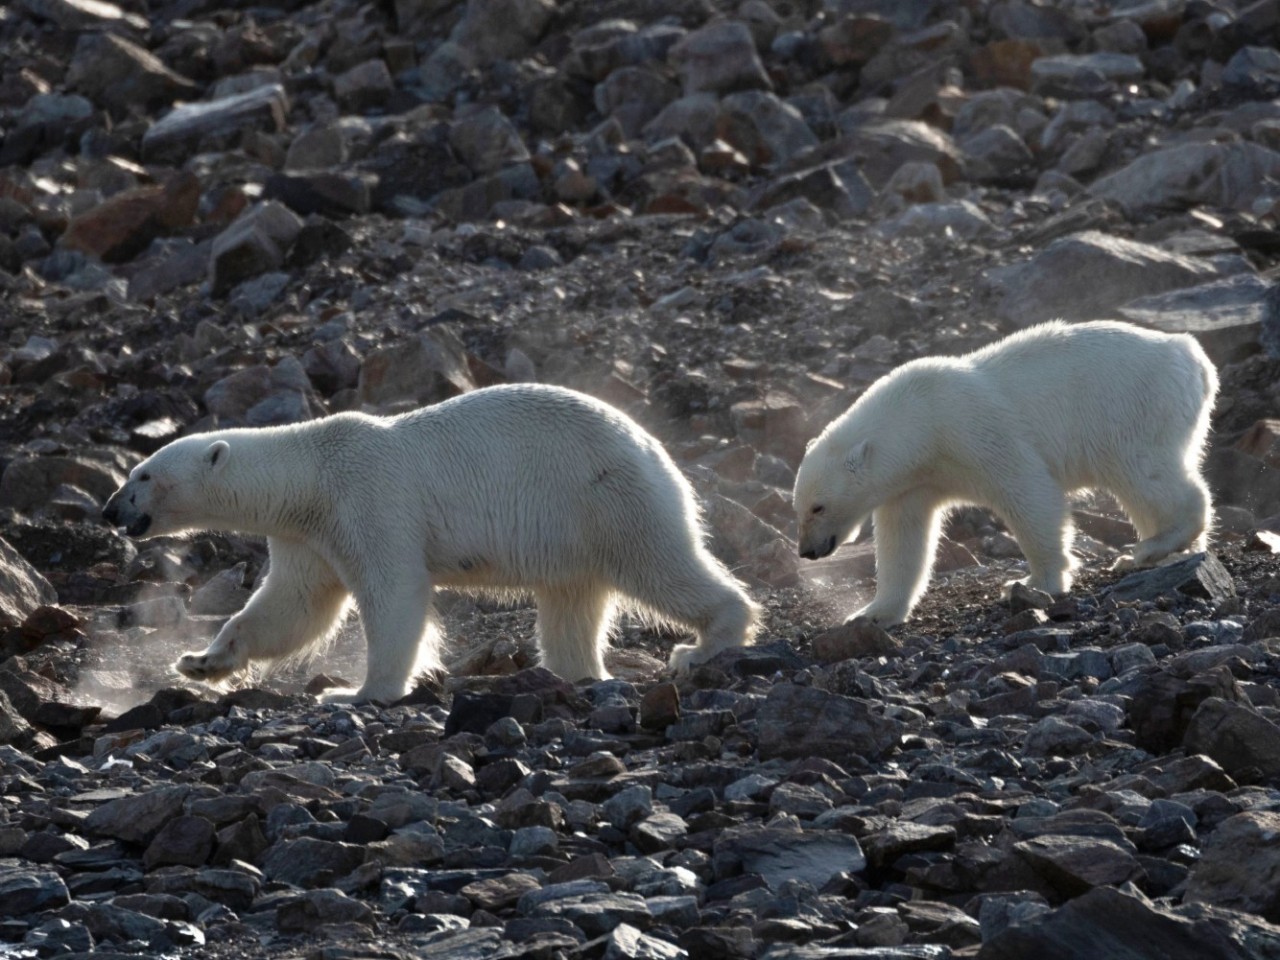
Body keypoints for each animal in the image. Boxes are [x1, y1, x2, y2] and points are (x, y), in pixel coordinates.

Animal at [103, 383, 760, 702]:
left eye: (143, 476)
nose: (111, 510)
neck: (311, 471)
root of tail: (656, 450)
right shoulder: (307, 534)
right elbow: (293, 607)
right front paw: (201, 661)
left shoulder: (370, 498)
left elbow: (394, 593)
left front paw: (353, 693)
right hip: (573, 533)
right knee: (572, 605)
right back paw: (578, 673)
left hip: (606, 497)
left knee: (659, 566)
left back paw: (704, 644)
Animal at [793, 320, 1218, 626]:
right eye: (797, 508)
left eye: (817, 507)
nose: (806, 551)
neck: (921, 423)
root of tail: (1193, 356)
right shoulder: (914, 483)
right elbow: (903, 540)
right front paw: (870, 613)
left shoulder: (974, 431)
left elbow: (1029, 492)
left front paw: (1033, 581)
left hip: (1132, 408)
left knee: (1145, 473)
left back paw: (1152, 546)